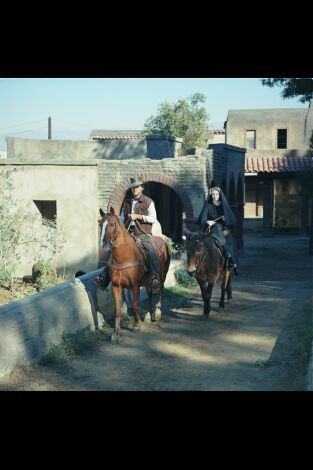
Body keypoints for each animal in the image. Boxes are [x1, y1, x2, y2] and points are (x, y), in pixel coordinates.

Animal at [98, 207, 171, 342]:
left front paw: (136, 325)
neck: (124, 256)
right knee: (150, 293)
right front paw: (116, 333)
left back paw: (157, 312)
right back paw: (148, 315)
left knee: (160, 289)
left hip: (162, 275)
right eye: (100, 224)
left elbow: (135, 305)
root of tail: (163, 241)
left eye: (112, 224)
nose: (104, 245)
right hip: (147, 281)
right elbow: (117, 309)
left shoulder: (135, 285)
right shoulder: (116, 286)